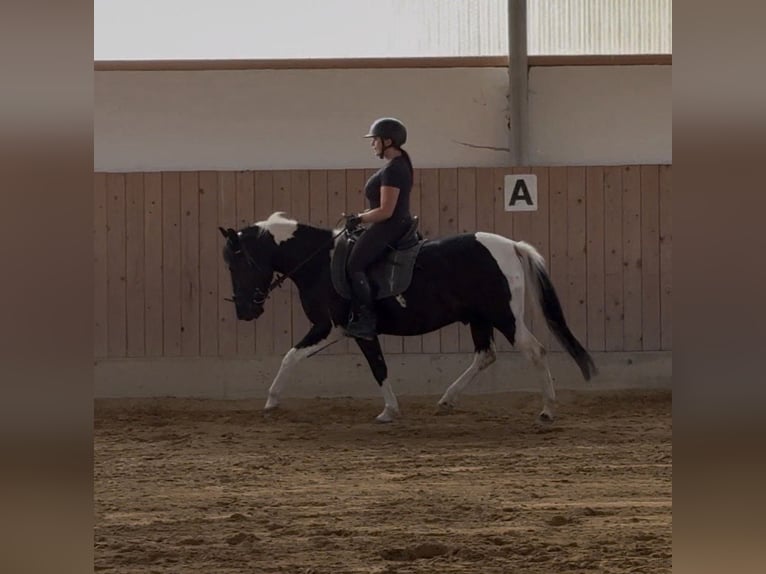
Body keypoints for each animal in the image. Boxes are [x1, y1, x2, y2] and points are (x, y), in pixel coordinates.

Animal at [219, 212, 597, 424]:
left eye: (237, 264)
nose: (244, 311)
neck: (320, 264)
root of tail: (511, 246)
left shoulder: (338, 328)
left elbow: (372, 367)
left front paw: (389, 410)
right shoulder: (338, 330)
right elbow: (297, 357)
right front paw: (272, 402)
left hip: (504, 316)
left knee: (534, 351)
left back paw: (547, 410)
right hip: (479, 318)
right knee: (484, 355)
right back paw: (447, 400)